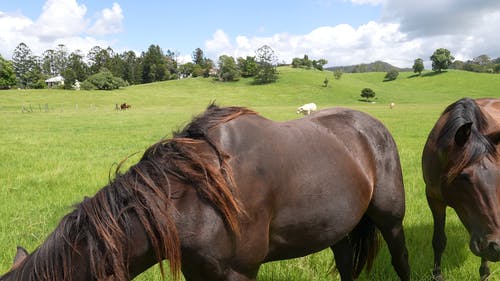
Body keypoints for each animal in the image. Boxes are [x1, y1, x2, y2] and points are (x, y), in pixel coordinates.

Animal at [0, 104, 410, 278]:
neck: (195, 198)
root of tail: (371, 124)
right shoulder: (199, 274)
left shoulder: (239, 274)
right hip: (338, 229)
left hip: (390, 220)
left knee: (401, 259)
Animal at [424, 97, 500, 278]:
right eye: (463, 177)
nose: (496, 247)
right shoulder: (433, 198)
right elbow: (439, 240)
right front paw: (437, 274)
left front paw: (484, 273)